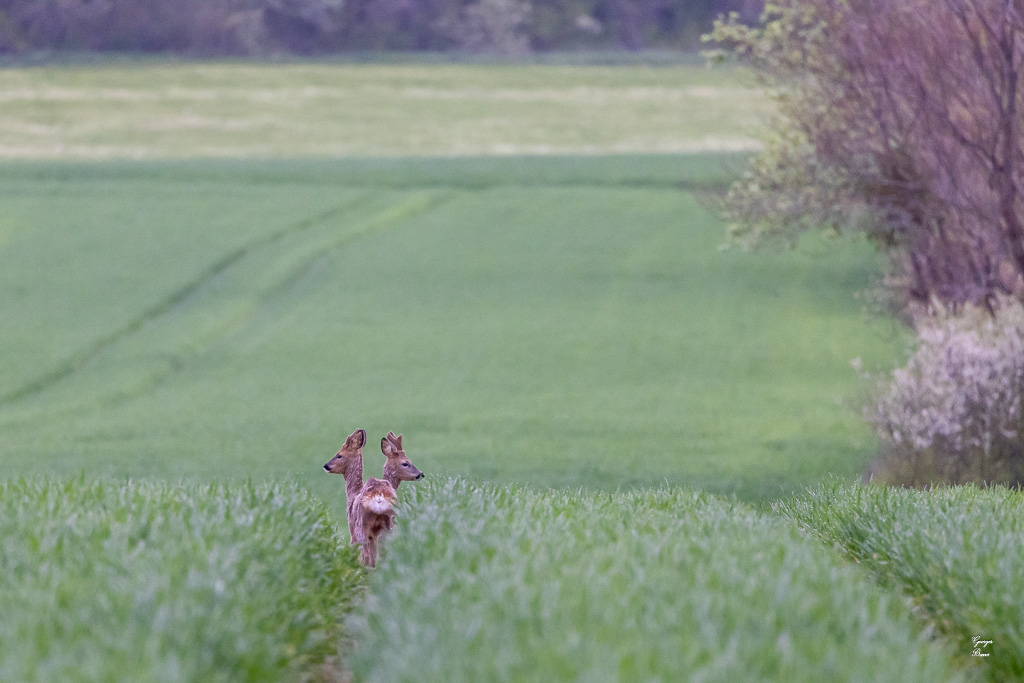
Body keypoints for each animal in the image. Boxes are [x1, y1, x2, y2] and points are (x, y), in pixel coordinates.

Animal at [322, 428, 423, 567]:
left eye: (339, 455)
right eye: (406, 463)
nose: (326, 465)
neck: (353, 492)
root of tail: (379, 497)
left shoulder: (352, 525)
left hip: (362, 526)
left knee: (366, 555)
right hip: (388, 524)